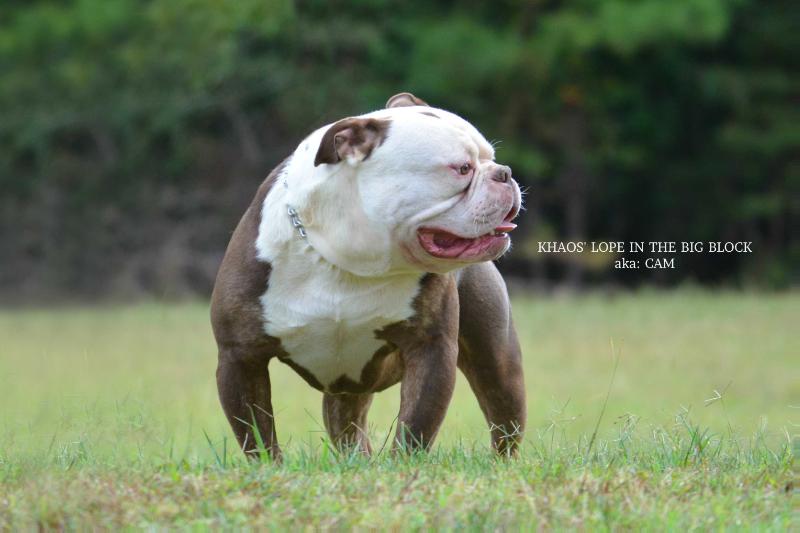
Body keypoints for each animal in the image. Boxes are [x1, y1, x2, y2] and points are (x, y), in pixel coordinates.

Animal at [211, 91, 524, 458]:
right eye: (462, 168)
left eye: (491, 157)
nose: (504, 172)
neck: (346, 260)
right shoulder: (240, 357)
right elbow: (257, 434)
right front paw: (269, 467)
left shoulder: (431, 347)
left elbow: (416, 424)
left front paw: (404, 464)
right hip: (345, 388)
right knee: (346, 426)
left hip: (496, 358)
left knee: (504, 416)